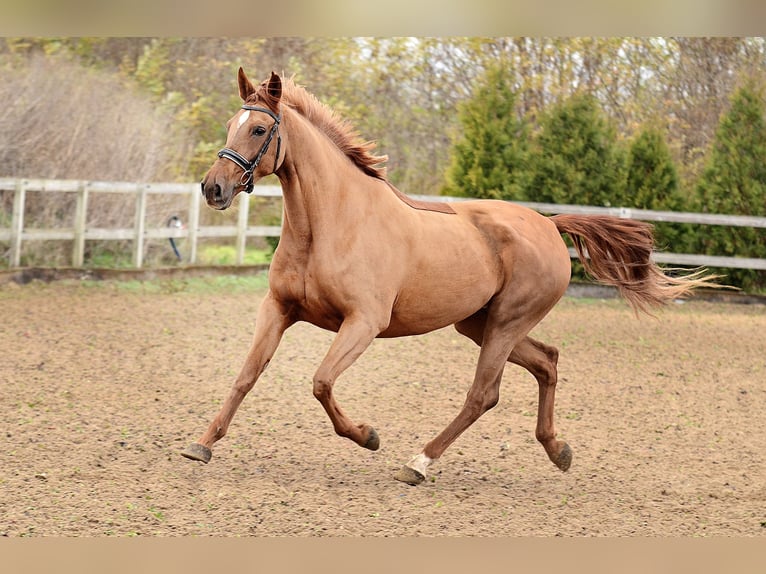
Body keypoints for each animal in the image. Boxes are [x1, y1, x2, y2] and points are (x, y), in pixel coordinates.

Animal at [183, 71, 716, 486]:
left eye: (257, 128)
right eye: (229, 125)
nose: (213, 188)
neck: (330, 223)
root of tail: (548, 223)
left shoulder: (364, 323)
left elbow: (321, 383)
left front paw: (368, 437)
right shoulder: (279, 309)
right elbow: (246, 376)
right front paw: (201, 444)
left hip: (505, 323)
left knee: (483, 394)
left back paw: (418, 463)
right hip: (479, 324)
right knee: (547, 362)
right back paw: (557, 450)